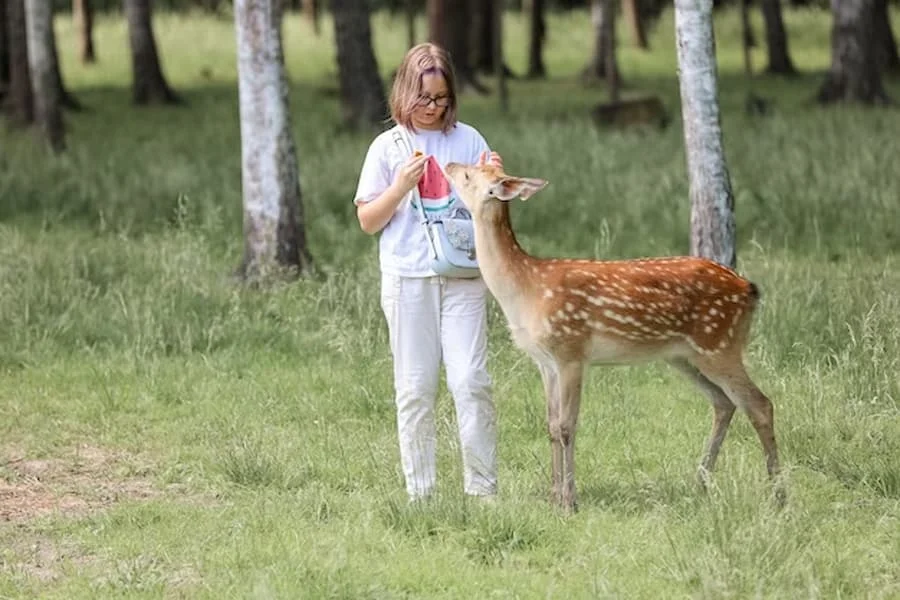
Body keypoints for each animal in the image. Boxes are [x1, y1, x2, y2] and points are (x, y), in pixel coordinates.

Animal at [446, 162, 784, 512]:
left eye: (469, 175)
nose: (449, 165)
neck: (525, 290)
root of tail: (749, 290)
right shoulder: (545, 362)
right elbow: (551, 425)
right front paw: (554, 498)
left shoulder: (571, 350)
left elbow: (567, 426)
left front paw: (570, 502)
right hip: (684, 355)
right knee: (724, 402)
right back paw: (701, 483)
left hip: (719, 343)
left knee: (759, 403)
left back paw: (778, 495)